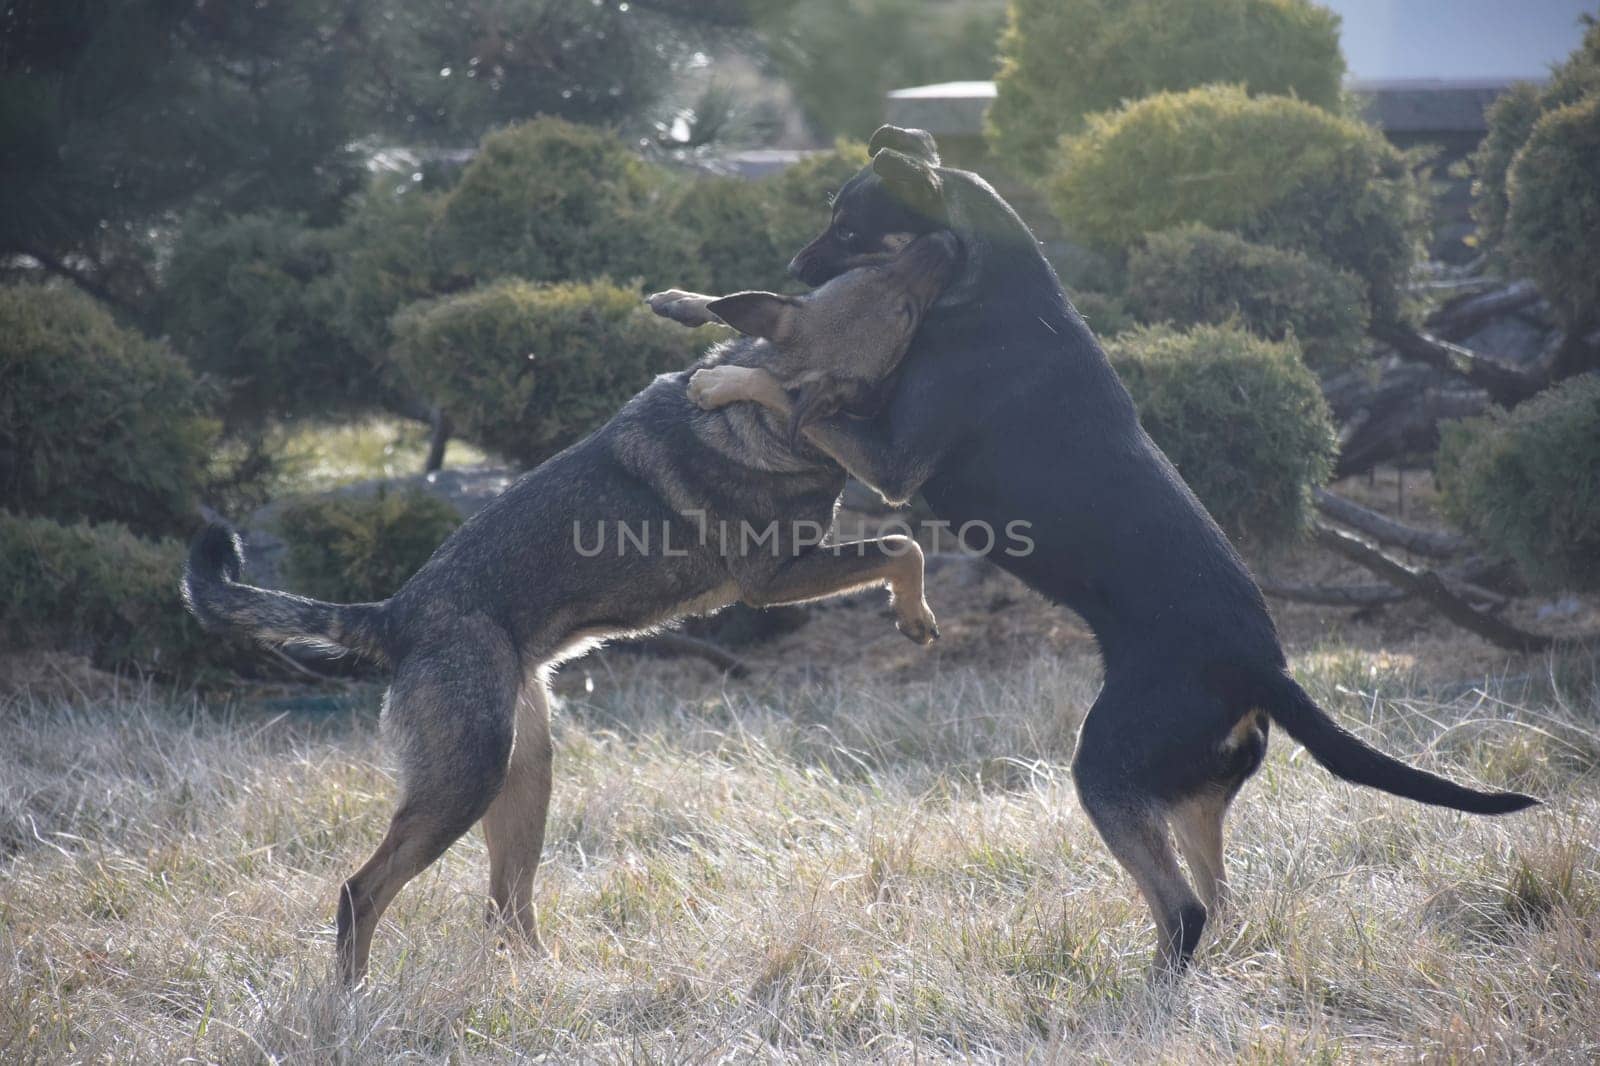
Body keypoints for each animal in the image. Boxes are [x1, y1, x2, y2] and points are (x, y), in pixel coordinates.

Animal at [713, 124, 1536, 973]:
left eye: (850, 231)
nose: (792, 271)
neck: (988, 283)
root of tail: (1263, 669)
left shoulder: (894, 461)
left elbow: (800, 400)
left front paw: (728, 378)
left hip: (1106, 763)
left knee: (1184, 908)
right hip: (1185, 790)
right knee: (1217, 895)